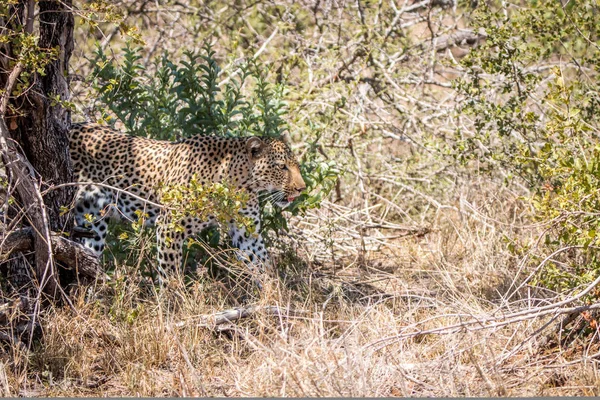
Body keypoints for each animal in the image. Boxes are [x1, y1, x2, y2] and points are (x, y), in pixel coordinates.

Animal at [68, 122, 308, 278]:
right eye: (282, 167)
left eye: (296, 164)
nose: (302, 188)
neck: (238, 182)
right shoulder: (169, 227)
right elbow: (170, 273)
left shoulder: (247, 232)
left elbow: (263, 264)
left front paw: (277, 302)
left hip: (94, 222)